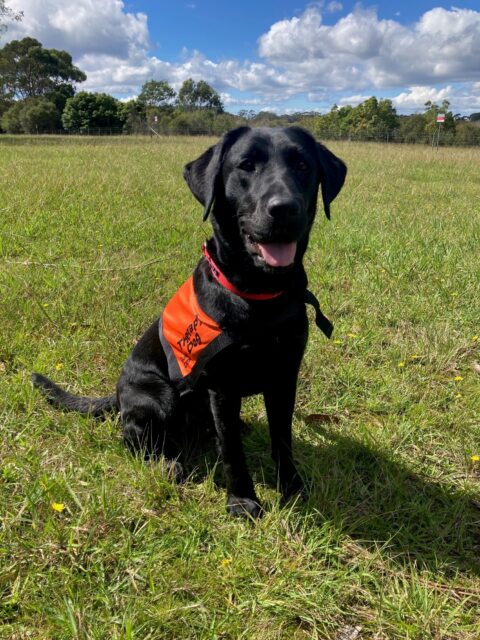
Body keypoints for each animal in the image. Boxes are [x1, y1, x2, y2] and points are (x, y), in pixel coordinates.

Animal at [32, 126, 344, 520]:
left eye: (303, 165)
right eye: (246, 165)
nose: (284, 208)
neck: (258, 296)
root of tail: (116, 395)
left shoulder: (285, 375)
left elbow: (282, 440)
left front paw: (292, 488)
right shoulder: (223, 385)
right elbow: (232, 452)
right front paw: (242, 500)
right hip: (158, 397)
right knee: (136, 440)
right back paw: (168, 464)